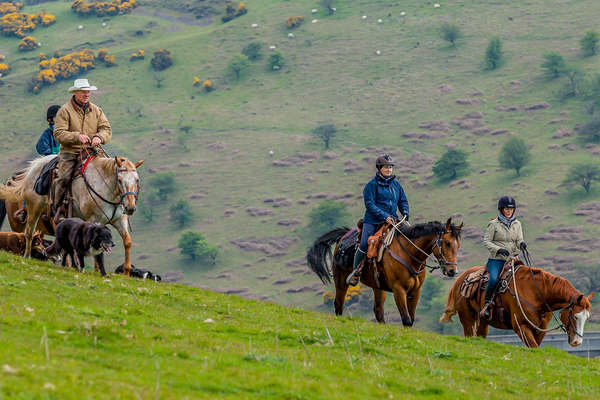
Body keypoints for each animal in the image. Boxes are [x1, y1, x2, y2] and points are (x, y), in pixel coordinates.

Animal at [0, 152, 144, 276]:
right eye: (119, 179)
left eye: (137, 180)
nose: (130, 207)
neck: (104, 187)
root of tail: (33, 167)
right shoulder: (93, 219)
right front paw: (96, 269)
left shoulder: (119, 220)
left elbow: (127, 242)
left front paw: (126, 272)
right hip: (33, 209)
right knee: (28, 232)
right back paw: (27, 256)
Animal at [308, 219, 462, 324]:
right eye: (447, 243)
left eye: (458, 245)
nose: (452, 271)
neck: (408, 254)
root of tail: (343, 236)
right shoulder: (398, 290)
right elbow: (406, 319)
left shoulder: (415, 291)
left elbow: (411, 319)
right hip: (340, 280)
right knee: (338, 304)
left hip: (378, 287)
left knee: (378, 311)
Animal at [440, 260, 596, 348]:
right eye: (575, 316)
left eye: (587, 317)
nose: (577, 342)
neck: (537, 293)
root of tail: (460, 278)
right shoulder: (521, 326)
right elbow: (533, 347)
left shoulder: (540, 329)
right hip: (467, 318)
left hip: (483, 321)